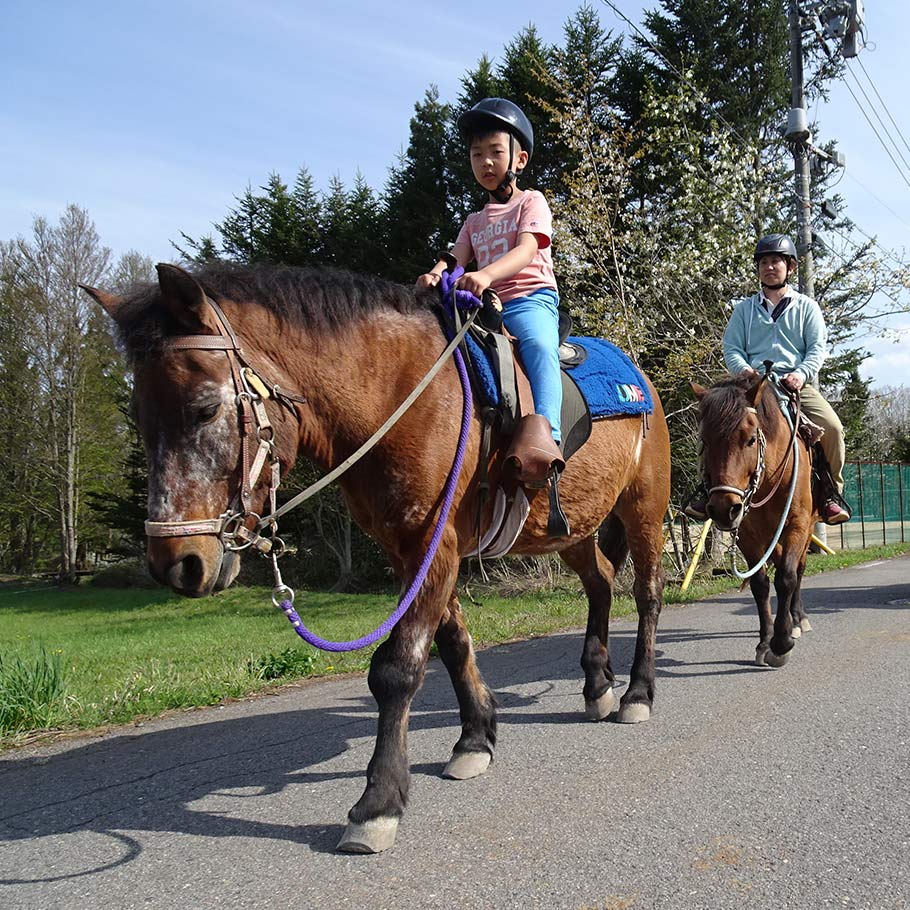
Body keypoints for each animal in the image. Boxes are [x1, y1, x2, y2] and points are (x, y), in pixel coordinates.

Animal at [83, 262, 668, 856]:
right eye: (139, 417)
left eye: (204, 408)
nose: (175, 561)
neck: (403, 391)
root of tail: (639, 380)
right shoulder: (410, 548)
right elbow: (453, 645)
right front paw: (475, 738)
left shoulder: (434, 541)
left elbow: (398, 667)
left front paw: (378, 802)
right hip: (572, 529)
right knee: (600, 584)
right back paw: (597, 686)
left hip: (643, 508)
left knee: (646, 594)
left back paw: (637, 693)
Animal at [696, 376, 816, 668]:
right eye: (705, 440)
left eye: (751, 439)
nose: (724, 508)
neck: (769, 479)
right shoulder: (748, 535)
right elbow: (760, 585)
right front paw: (765, 641)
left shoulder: (797, 524)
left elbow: (786, 577)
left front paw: (781, 644)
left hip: (807, 530)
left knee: (798, 570)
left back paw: (798, 619)